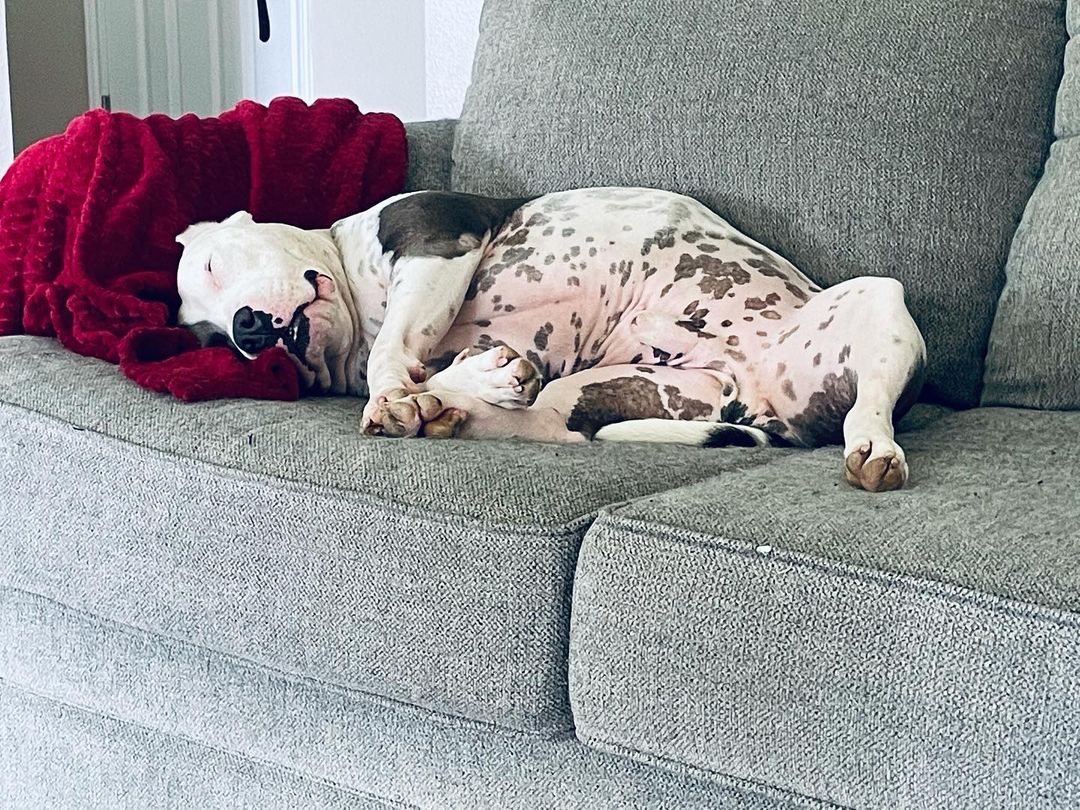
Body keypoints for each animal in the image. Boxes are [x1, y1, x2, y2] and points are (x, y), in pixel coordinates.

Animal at [172, 189, 924, 494]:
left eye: (214, 265)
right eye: (211, 340)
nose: (244, 329)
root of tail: (769, 407)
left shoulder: (438, 245)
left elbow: (399, 350)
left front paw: (396, 394)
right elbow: (432, 372)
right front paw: (447, 390)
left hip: (879, 299)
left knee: (870, 408)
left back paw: (874, 449)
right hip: (620, 390)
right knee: (544, 421)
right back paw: (461, 414)